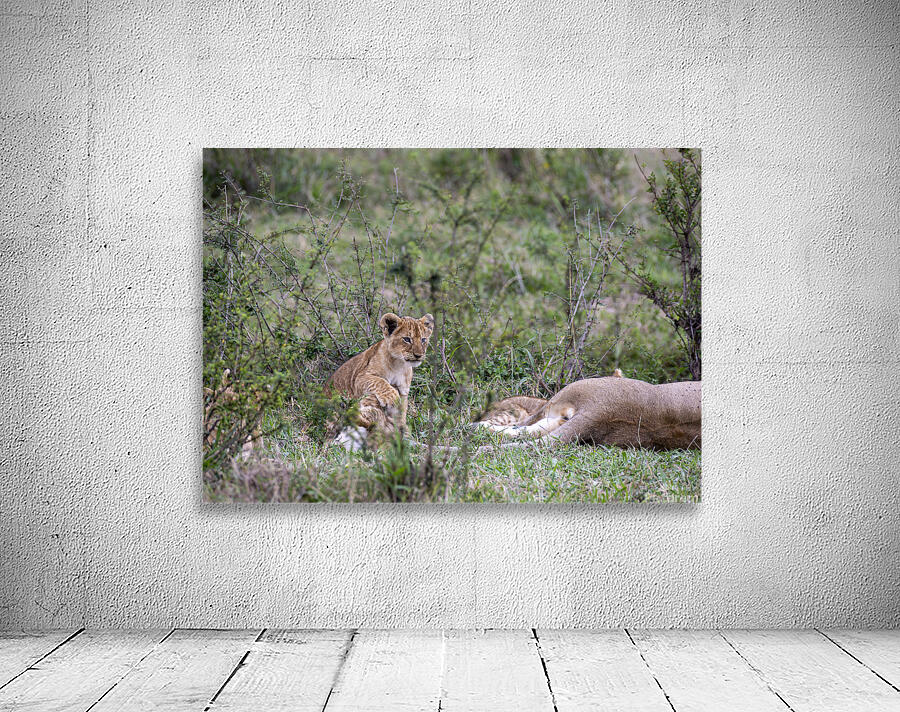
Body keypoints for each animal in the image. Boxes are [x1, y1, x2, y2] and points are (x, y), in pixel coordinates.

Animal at [326, 312, 434, 450]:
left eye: (423, 340)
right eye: (407, 339)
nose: (419, 355)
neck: (399, 365)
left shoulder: (404, 392)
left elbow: (401, 414)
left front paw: (400, 435)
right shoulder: (360, 377)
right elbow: (379, 381)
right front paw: (391, 396)